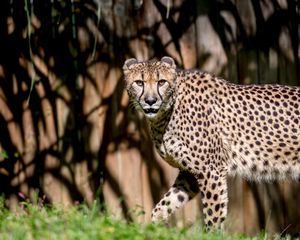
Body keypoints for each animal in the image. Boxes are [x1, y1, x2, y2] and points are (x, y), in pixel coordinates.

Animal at [122, 56, 300, 231]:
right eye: (139, 82)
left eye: (161, 82)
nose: (150, 101)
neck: (167, 114)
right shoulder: (189, 174)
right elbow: (162, 207)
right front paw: (156, 230)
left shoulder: (210, 171)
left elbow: (212, 217)